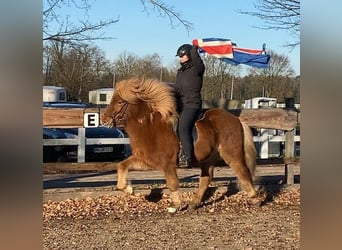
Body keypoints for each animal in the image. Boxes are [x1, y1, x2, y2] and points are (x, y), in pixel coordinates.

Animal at [101, 77, 262, 209]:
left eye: (120, 102)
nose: (104, 120)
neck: (149, 126)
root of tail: (236, 120)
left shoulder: (167, 163)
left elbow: (172, 183)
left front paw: (176, 205)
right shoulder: (146, 160)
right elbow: (122, 166)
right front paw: (129, 189)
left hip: (231, 155)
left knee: (243, 172)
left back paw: (255, 199)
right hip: (208, 158)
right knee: (206, 178)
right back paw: (194, 203)